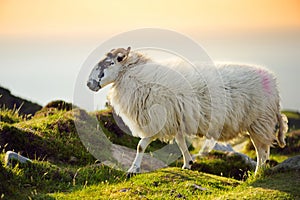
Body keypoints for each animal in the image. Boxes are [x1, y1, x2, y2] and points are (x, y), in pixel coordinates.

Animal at [85, 47, 288, 175]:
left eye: (111, 62)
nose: (89, 84)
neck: (134, 76)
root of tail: (274, 84)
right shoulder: (174, 119)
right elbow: (181, 142)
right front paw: (188, 163)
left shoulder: (157, 119)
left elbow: (141, 145)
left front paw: (132, 170)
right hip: (259, 123)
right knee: (263, 150)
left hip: (259, 121)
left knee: (262, 151)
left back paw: (258, 173)